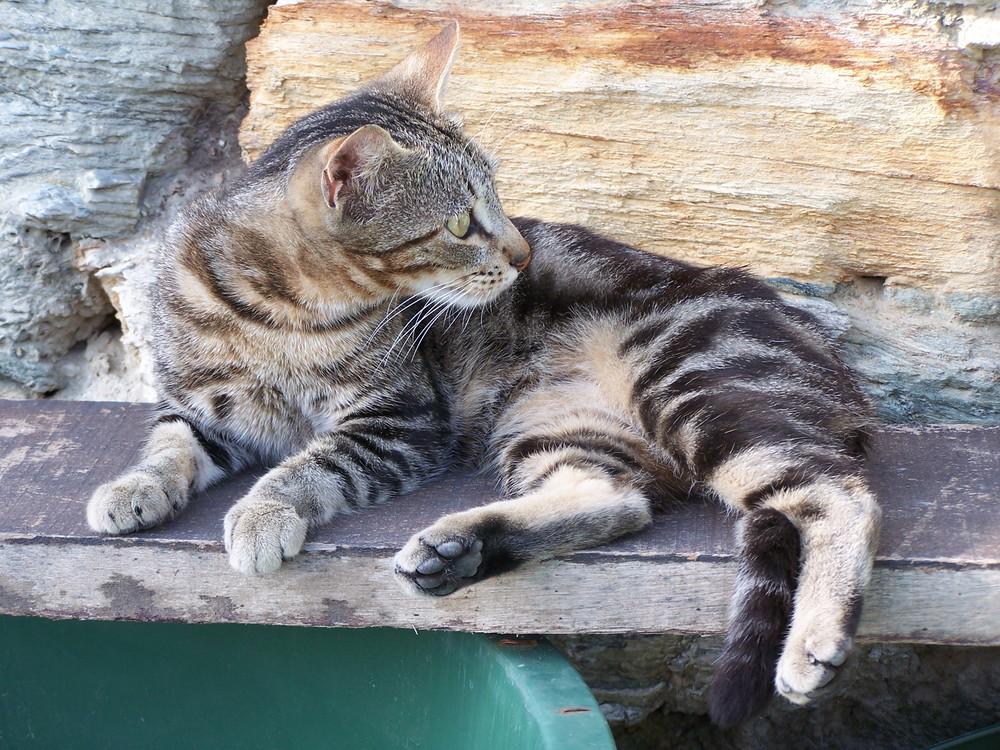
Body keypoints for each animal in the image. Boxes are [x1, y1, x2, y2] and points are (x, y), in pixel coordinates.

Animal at [88, 23, 884, 728]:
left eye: (497, 203)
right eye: (461, 224)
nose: (524, 254)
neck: (276, 313)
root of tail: (831, 362)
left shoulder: (397, 420)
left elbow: (309, 465)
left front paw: (261, 514)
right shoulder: (202, 407)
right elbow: (168, 445)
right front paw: (131, 490)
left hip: (688, 383)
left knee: (839, 496)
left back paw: (815, 641)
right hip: (551, 427)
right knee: (617, 500)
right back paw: (458, 549)